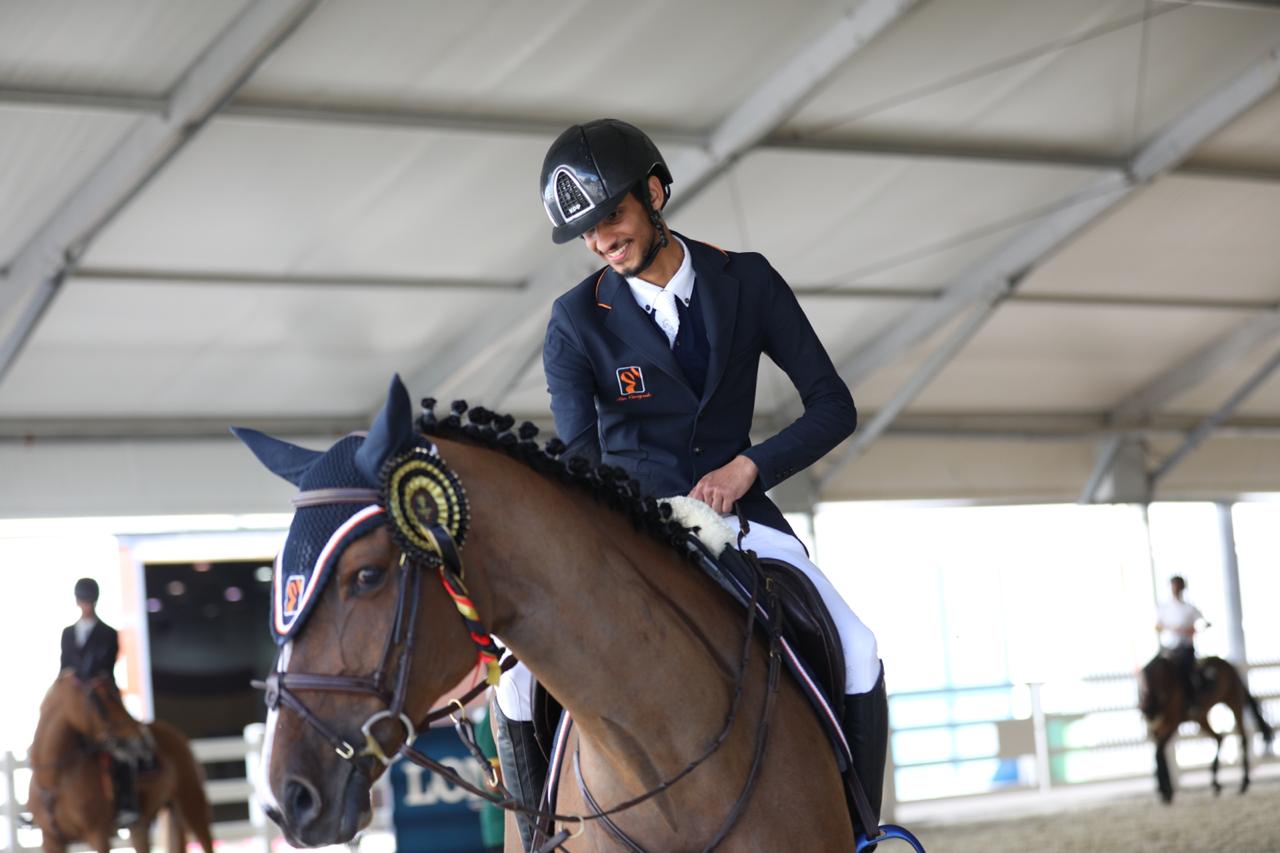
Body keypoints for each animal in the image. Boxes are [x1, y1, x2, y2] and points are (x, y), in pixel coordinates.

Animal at [27, 671, 213, 850]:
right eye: (101, 701)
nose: (143, 740)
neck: (55, 779)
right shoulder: (51, 840)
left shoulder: (98, 834)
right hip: (145, 824)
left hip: (192, 806)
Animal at [1141, 653, 1269, 799]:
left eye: (1157, 678)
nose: (1147, 711)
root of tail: (1228, 664)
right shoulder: (1157, 728)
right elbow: (1158, 753)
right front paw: (1164, 789)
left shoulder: (1173, 723)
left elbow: (1159, 753)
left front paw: (1166, 791)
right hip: (1201, 717)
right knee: (1219, 737)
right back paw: (1216, 784)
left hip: (1233, 701)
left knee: (1242, 738)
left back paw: (1244, 782)